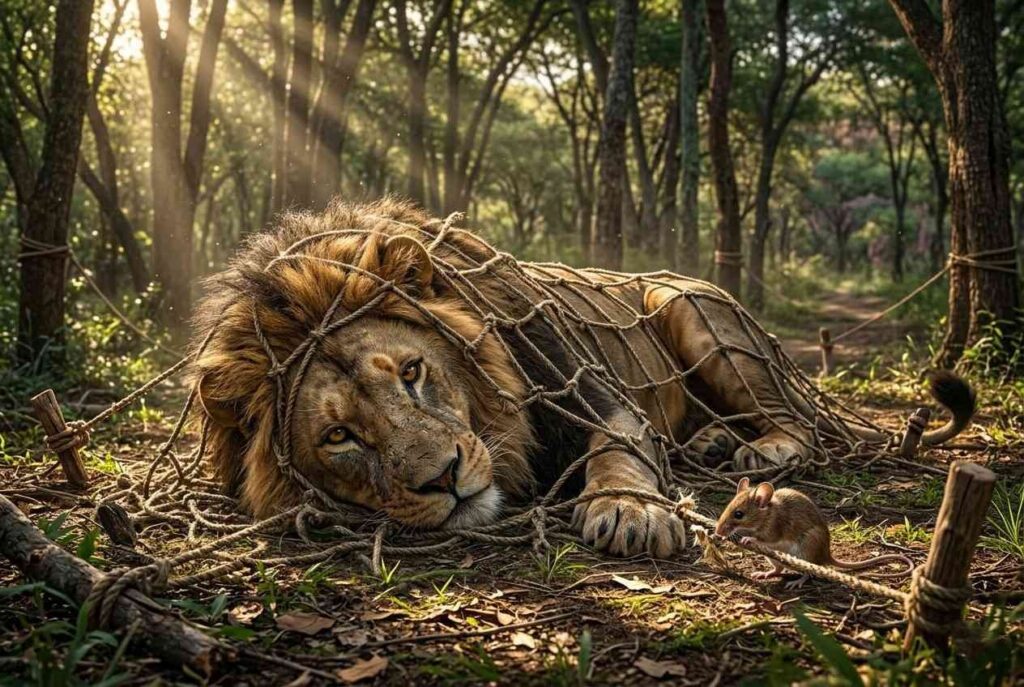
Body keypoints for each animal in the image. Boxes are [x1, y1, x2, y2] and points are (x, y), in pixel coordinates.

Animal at [191, 199, 975, 558]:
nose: (446, 478)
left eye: (413, 372)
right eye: (340, 436)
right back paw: (713, 445)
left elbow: (617, 451)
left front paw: (629, 510)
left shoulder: (598, 397)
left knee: (801, 423)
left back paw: (760, 450)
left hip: (693, 311)